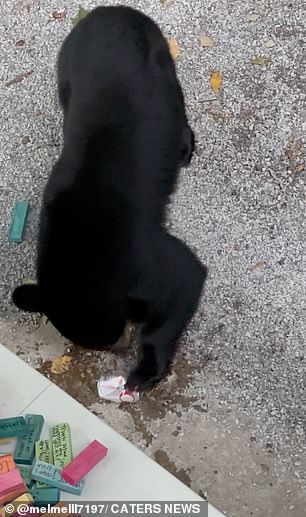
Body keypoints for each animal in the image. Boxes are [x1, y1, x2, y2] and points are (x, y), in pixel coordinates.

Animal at [12, 6, 208, 390]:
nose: (121, 347)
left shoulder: (136, 255)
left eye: (114, 335)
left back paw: (183, 147)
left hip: (159, 61)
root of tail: (108, 11)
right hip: (65, 68)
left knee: (176, 100)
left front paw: (143, 372)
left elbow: (184, 277)